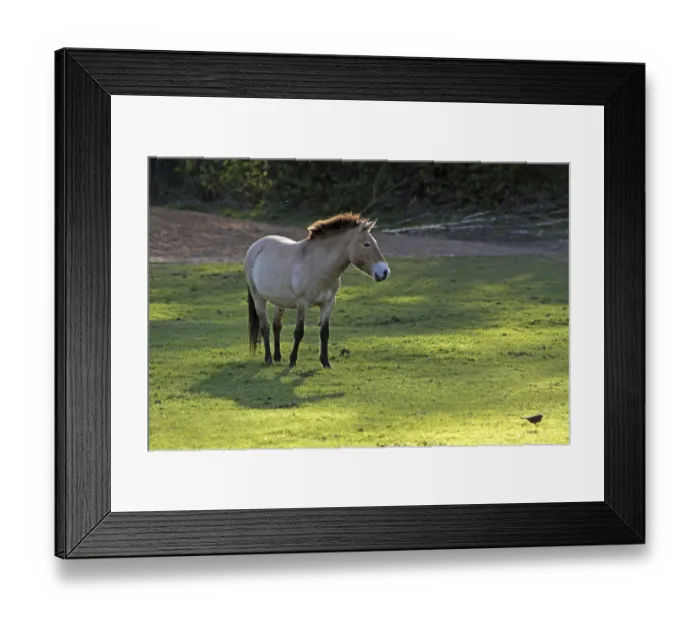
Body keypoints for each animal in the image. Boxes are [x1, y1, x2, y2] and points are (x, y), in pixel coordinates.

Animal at [244, 213, 391, 369]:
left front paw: (325, 362)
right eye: (366, 244)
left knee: (276, 325)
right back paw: (269, 358)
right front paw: (292, 361)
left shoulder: (328, 303)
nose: (385, 272)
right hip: (258, 297)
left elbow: (324, 333)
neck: (320, 266)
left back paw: (278, 357)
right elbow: (299, 332)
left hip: (280, 301)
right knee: (264, 326)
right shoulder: (302, 303)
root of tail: (256, 246)